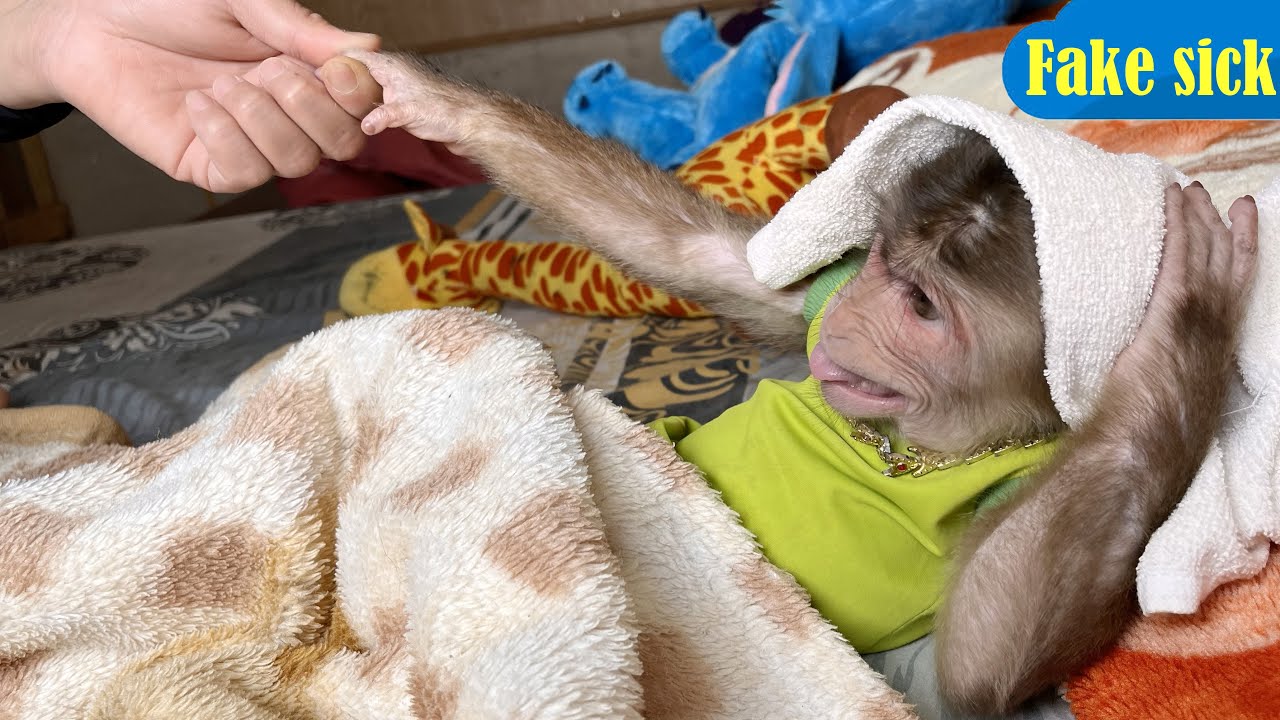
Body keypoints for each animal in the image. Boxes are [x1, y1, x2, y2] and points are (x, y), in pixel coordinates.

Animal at [345, 52, 1259, 714]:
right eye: (881, 262)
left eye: (921, 305)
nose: (851, 316)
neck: (910, 446)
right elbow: (707, 260)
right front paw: (423, 100)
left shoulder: (1024, 477)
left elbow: (978, 662)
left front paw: (1186, 322)